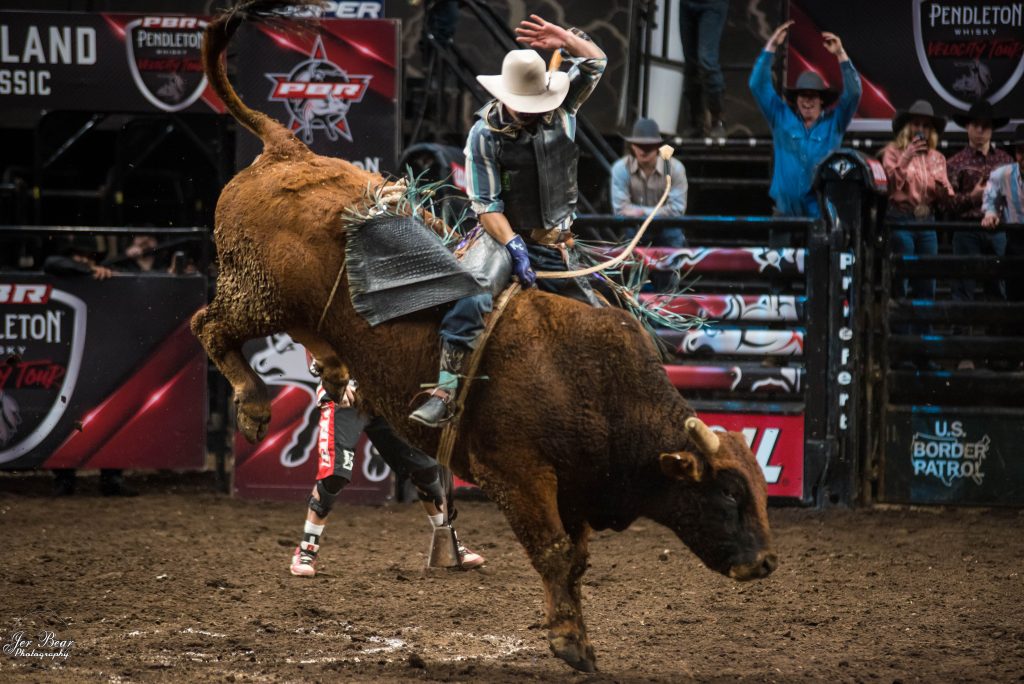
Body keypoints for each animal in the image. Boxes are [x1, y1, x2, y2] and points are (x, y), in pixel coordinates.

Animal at [193, 1, 774, 671]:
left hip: (294, 306)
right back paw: (256, 408)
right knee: (210, 326)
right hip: (255, 288)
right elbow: (552, 552)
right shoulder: (518, 474)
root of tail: (287, 151)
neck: (595, 388)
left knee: (302, 336)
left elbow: (575, 558)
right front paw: (569, 643)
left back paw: (334, 374)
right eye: (727, 496)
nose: (766, 563)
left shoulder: (577, 486)